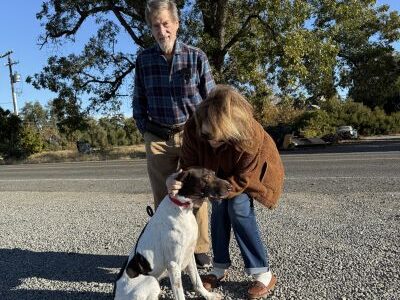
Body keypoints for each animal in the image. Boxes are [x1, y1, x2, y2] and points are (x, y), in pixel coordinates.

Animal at [113, 168, 231, 298]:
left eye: (214, 174)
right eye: (206, 177)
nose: (231, 187)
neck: (182, 209)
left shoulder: (189, 255)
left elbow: (197, 281)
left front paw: (208, 295)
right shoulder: (173, 265)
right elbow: (180, 295)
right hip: (152, 281)